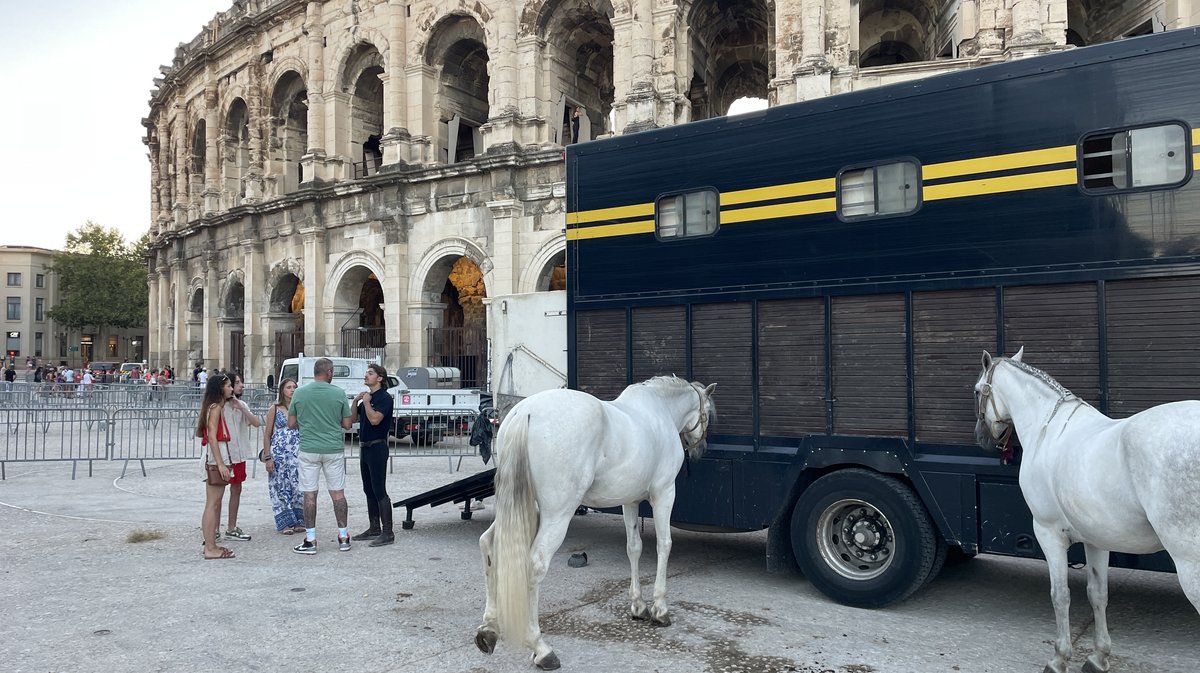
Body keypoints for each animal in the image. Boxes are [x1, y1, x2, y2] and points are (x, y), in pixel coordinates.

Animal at [470, 374, 715, 667]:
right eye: (707, 412)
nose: (701, 449)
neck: (660, 411)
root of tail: (524, 412)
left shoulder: (630, 501)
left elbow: (634, 548)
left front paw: (638, 606)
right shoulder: (664, 493)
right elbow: (663, 545)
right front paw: (660, 609)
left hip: (519, 506)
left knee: (489, 545)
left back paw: (488, 629)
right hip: (556, 515)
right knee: (535, 564)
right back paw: (541, 648)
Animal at [974, 345, 1200, 671]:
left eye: (978, 390)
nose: (981, 437)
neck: (1047, 431)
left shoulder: (1048, 534)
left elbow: (1060, 595)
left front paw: (1059, 657)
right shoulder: (1097, 540)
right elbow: (1098, 595)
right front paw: (1098, 655)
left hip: (1189, 562)